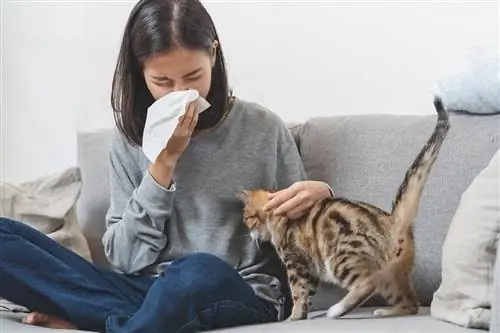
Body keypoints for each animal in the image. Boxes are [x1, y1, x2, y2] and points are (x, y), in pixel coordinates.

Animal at [236, 96, 452, 320]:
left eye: (246, 218)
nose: (248, 233)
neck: (276, 216)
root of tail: (391, 220)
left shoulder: (295, 262)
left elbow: (298, 293)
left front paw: (293, 317)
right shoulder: (308, 270)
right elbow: (307, 296)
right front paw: (301, 315)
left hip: (341, 260)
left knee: (368, 284)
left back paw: (337, 310)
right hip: (392, 274)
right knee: (410, 303)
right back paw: (385, 311)